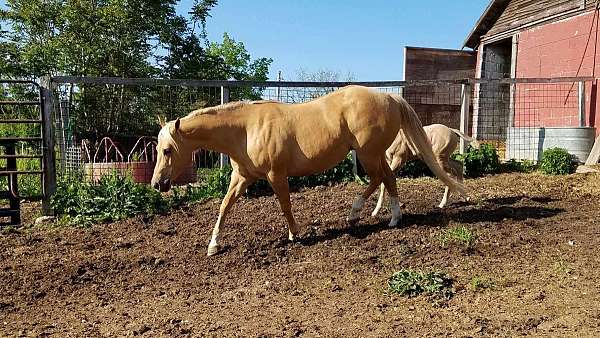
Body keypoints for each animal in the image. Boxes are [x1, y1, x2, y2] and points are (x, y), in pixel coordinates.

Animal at [151, 85, 468, 256]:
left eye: (167, 150)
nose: (157, 184)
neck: (246, 129)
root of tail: (390, 98)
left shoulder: (275, 175)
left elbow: (285, 206)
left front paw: (295, 235)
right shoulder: (241, 178)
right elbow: (224, 207)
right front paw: (213, 245)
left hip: (369, 154)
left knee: (381, 178)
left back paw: (367, 215)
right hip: (376, 155)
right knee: (386, 178)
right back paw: (383, 217)